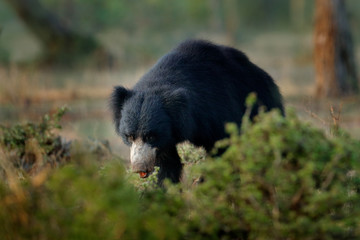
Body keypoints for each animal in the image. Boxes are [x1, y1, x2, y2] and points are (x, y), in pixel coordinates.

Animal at [109, 40, 284, 185]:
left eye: (151, 136)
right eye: (129, 136)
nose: (139, 168)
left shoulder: (217, 111)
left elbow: (224, 148)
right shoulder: (165, 140)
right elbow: (167, 164)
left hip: (263, 108)